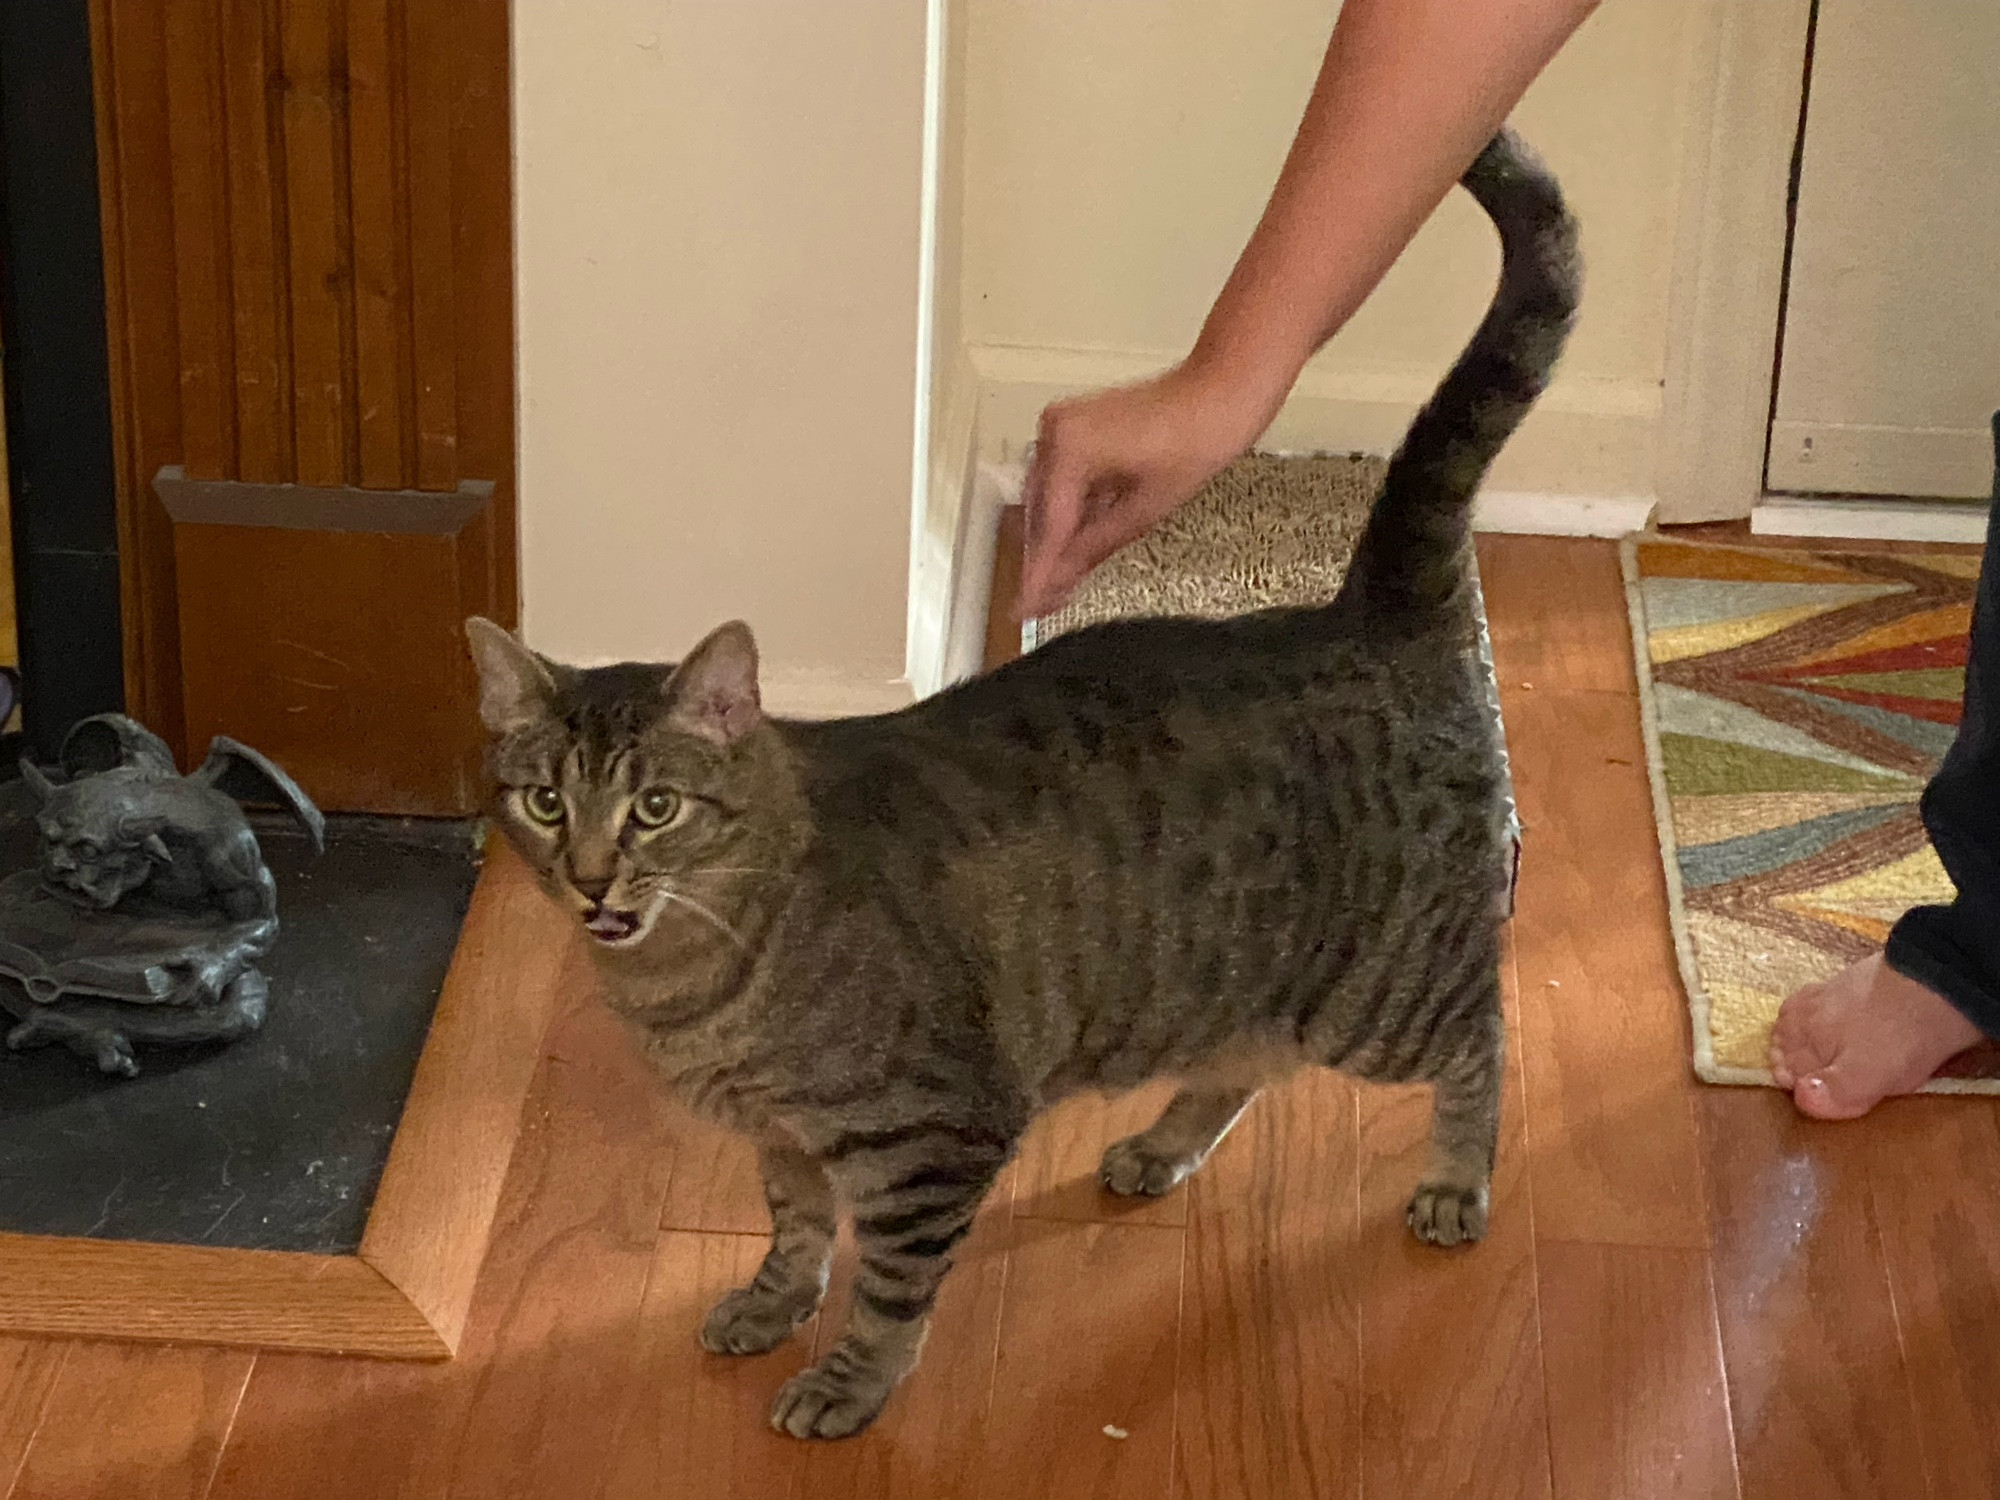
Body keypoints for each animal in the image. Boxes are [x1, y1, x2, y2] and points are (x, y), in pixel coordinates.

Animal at [468, 129, 1576, 1448]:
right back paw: (1158, 1145)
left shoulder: (928, 1139)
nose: (591, 878)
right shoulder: (784, 1140)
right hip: (1241, 980)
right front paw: (768, 1303)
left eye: (653, 807)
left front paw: (847, 1384)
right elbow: (795, 1234)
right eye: (544, 802)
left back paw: (1455, 1180)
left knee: (1480, 1039)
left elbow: (890, 1289)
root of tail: (1371, 611)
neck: (700, 982)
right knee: (1246, 1063)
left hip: (1380, 995)